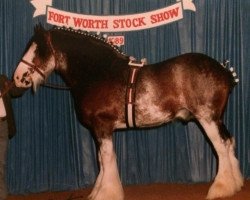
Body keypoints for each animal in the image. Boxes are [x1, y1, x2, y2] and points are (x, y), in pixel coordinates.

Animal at [13, 25, 242, 200]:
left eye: (38, 50)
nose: (17, 78)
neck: (98, 72)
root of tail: (223, 71)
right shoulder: (99, 130)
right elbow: (102, 160)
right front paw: (97, 192)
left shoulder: (102, 126)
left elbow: (107, 159)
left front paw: (106, 193)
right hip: (217, 119)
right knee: (229, 142)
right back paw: (236, 184)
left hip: (207, 119)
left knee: (221, 147)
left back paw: (220, 189)